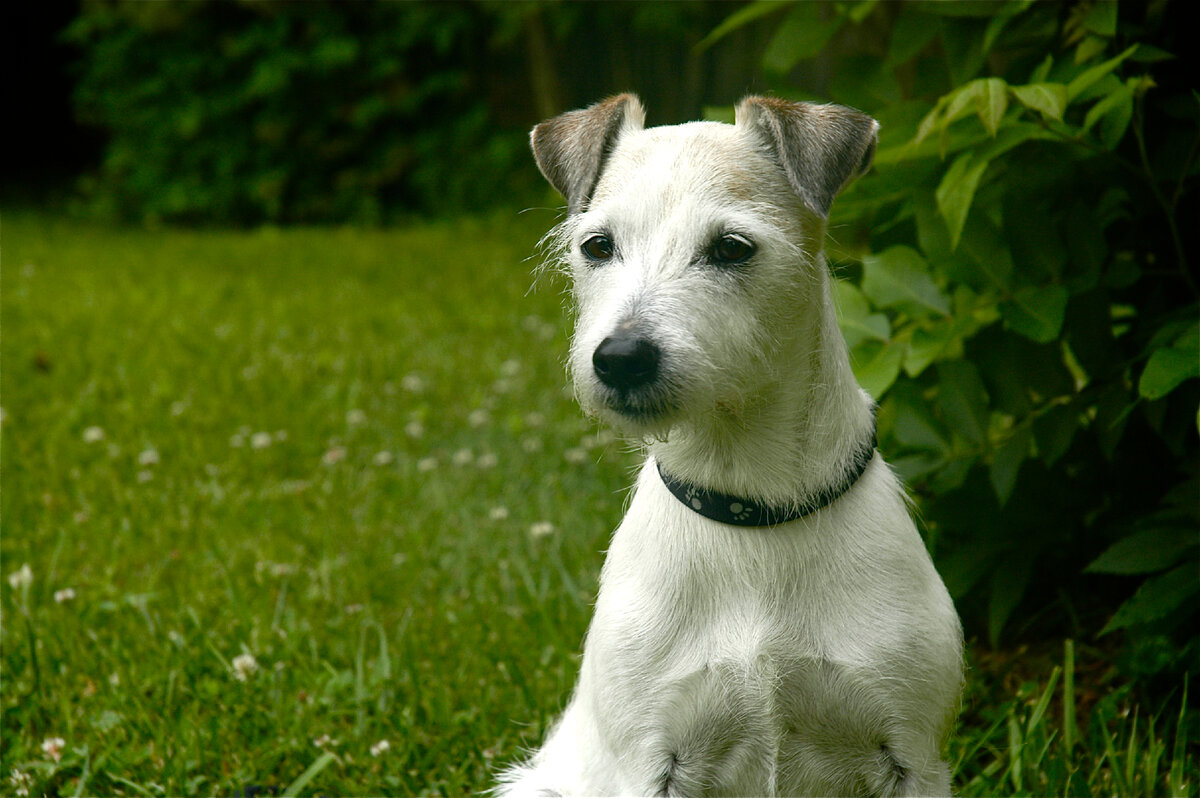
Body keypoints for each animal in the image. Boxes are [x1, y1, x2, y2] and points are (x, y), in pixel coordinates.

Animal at [499, 94, 964, 796]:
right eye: (598, 245)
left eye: (731, 247)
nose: (620, 359)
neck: (753, 507)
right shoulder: (650, 758)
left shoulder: (912, 754)